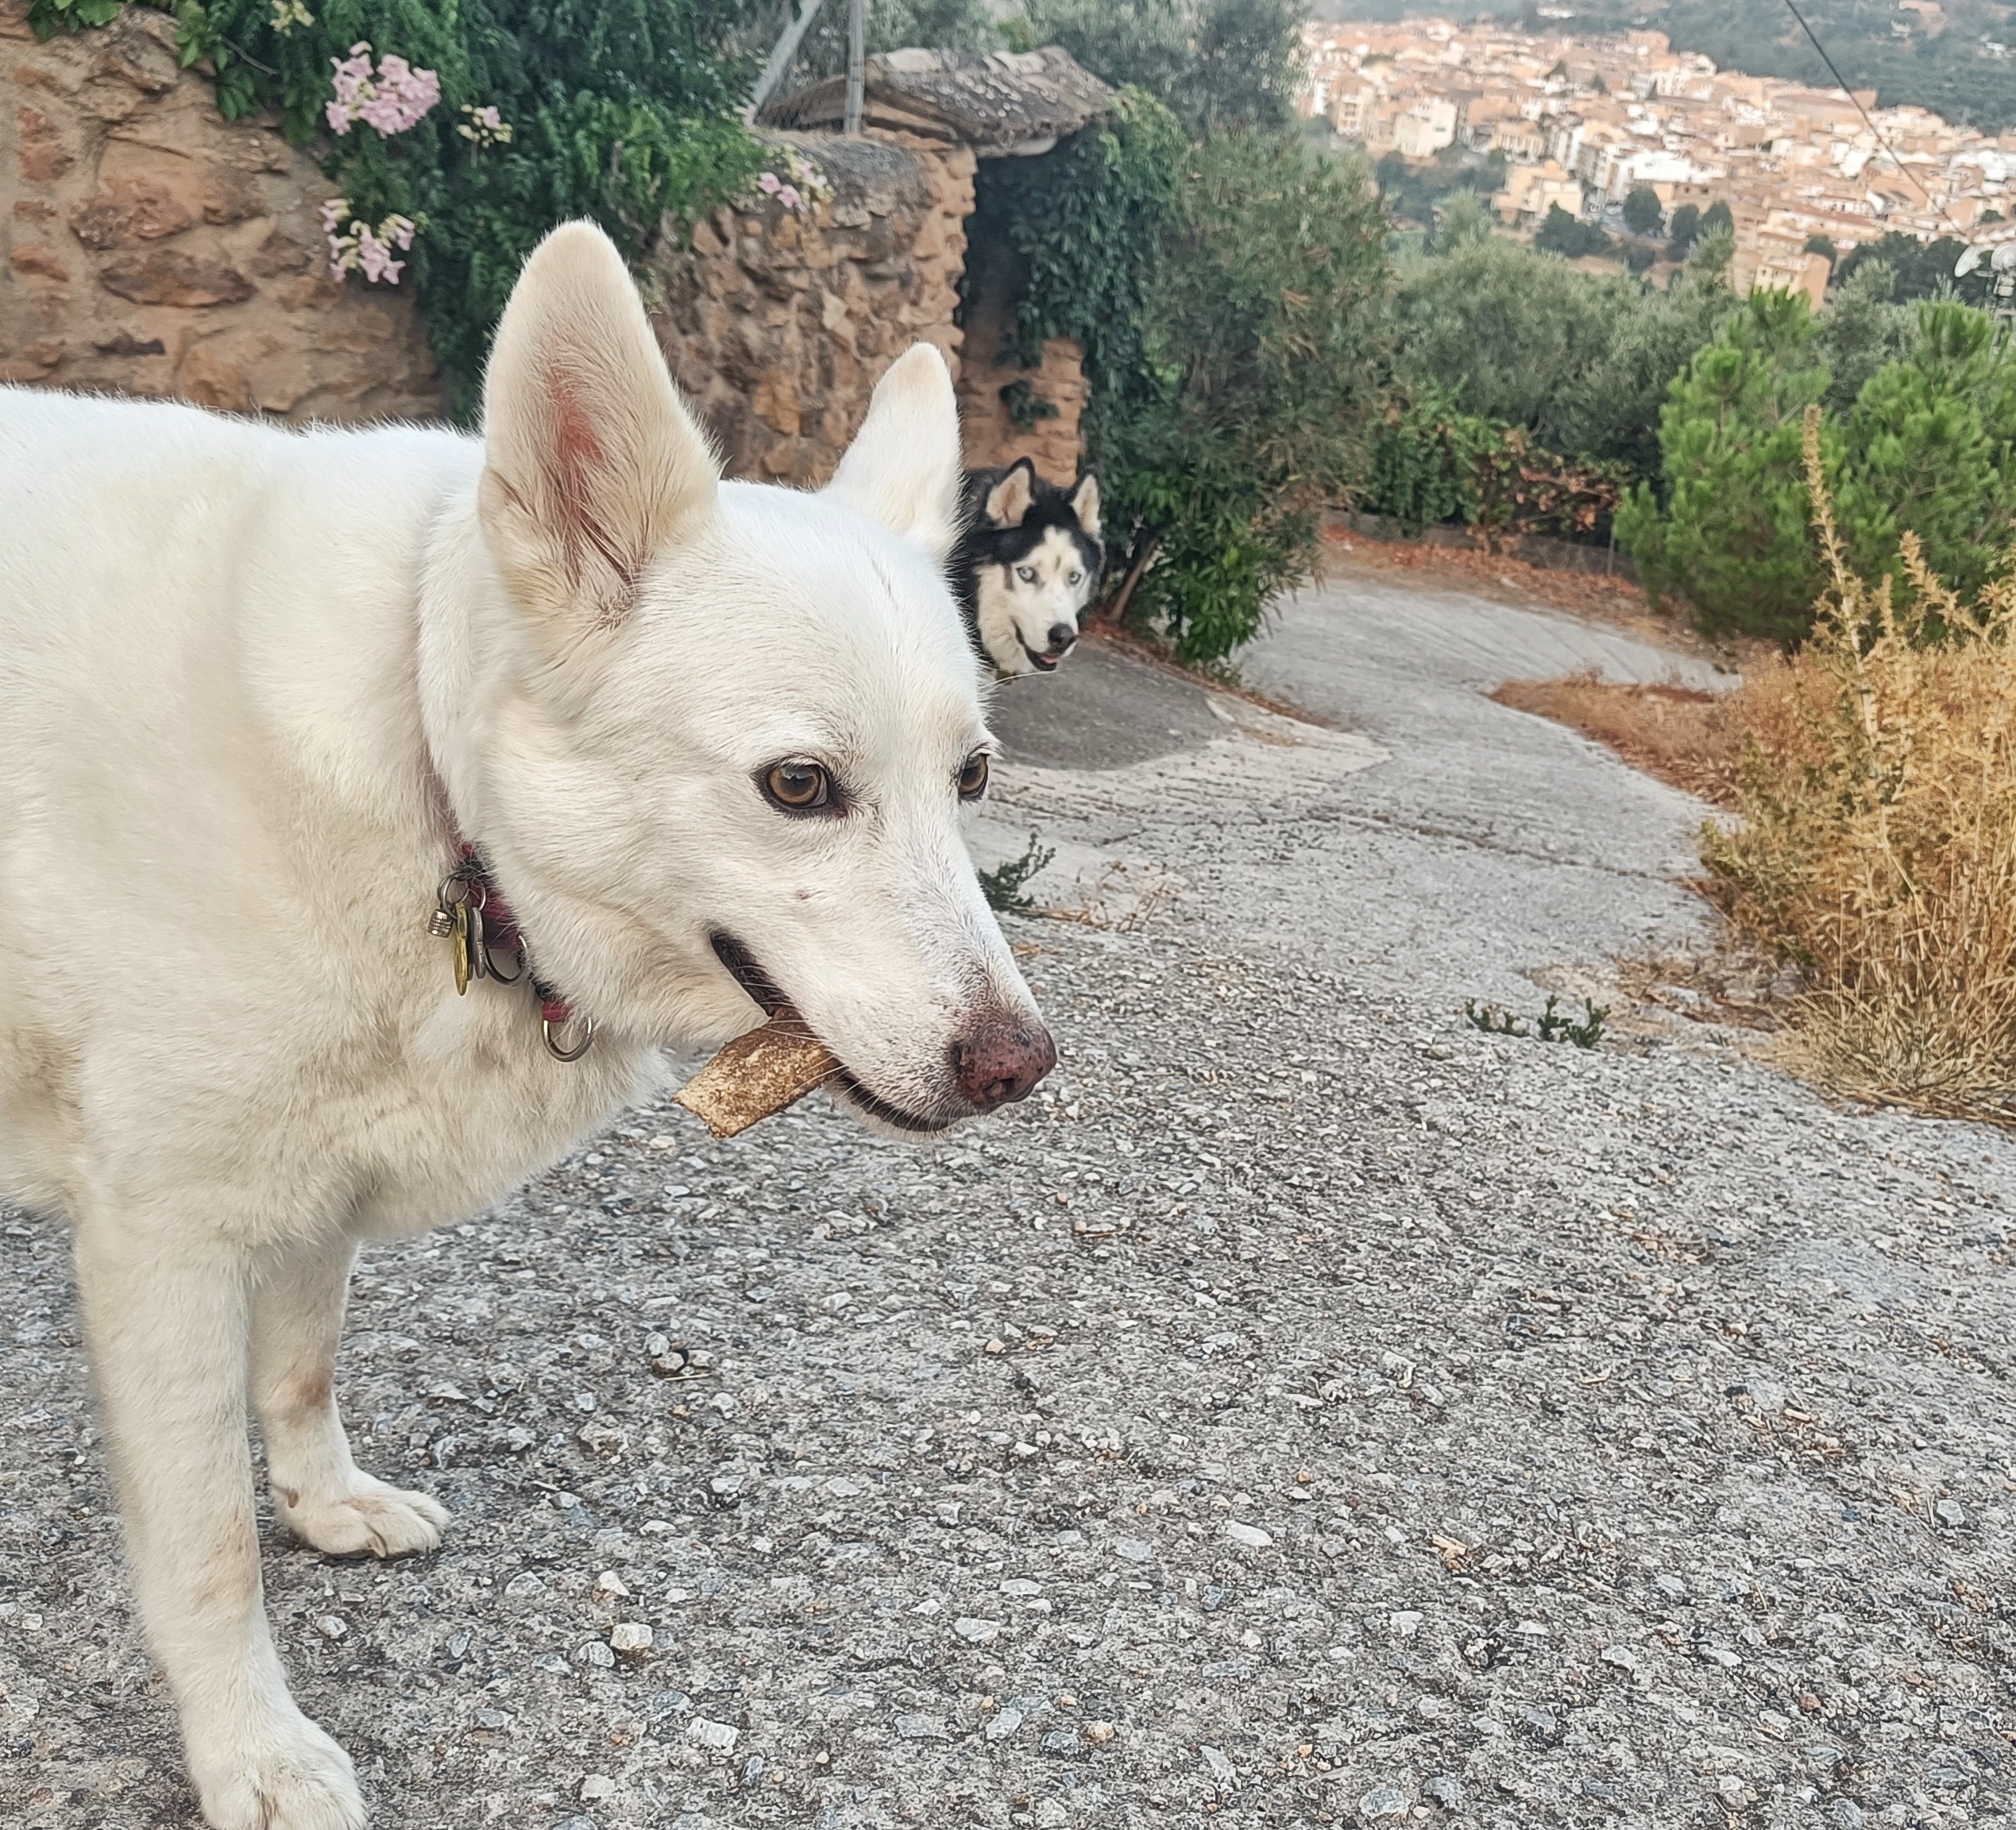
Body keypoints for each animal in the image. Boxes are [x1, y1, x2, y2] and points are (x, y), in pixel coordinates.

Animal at [0, 224, 1064, 1830]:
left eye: (975, 778)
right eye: (800, 786)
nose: (1019, 1067)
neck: (432, 778)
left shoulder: (311, 1194)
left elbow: (300, 1371)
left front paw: (325, 1504)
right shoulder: (164, 1248)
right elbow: (209, 1551)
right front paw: (252, 1753)